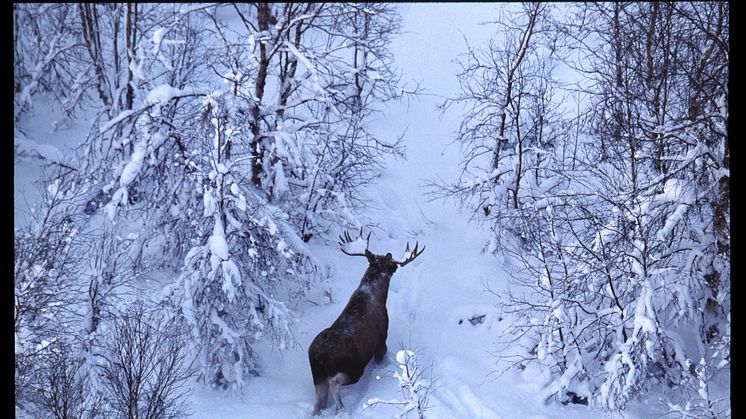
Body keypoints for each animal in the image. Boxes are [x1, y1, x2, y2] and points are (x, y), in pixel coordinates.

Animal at [308, 230, 424, 416]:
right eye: (391, 262)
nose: (396, 266)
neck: (379, 296)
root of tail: (318, 356)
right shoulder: (381, 339)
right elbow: (381, 358)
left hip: (317, 377)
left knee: (318, 404)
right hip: (352, 368)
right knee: (334, 384)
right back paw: (342, 410)